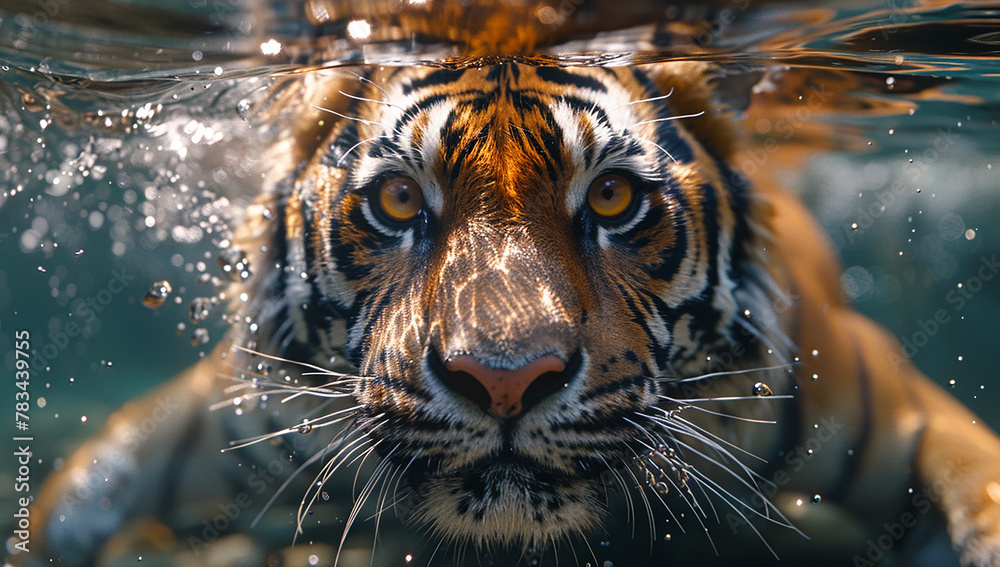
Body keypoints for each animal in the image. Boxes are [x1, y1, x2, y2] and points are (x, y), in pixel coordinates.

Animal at [12, 60, 1000, 567]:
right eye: (399, 201)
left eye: (611, 199)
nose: (506, 381)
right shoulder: (242, 407)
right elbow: (80, 492)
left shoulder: (889, 406)